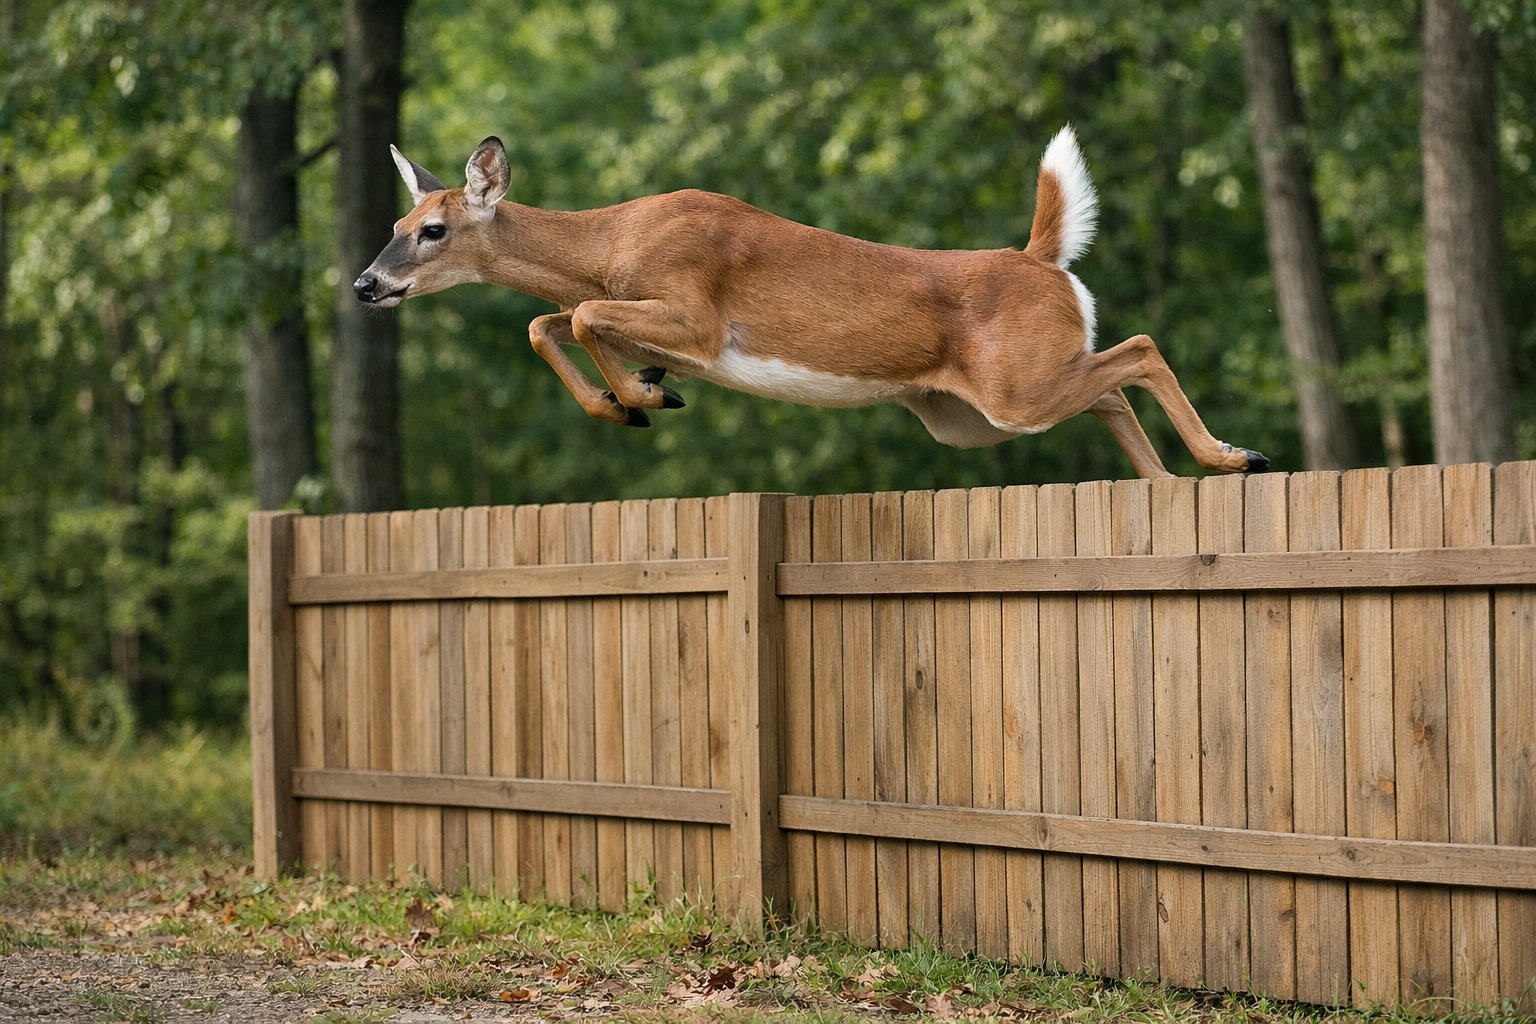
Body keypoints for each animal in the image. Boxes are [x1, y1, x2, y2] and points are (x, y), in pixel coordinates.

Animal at [354, 128, 1268, 480]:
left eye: (433, 229)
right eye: (393, 225)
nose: (366, 283)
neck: (612, 246)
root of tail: (1039, 259)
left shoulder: (696, 313)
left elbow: (569, 316)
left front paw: (640, 397)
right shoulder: (665, 327)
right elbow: (548, 320)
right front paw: (637, 396)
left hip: (1013, 390)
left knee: (1139, 348)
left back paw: (1234, 456)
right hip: (972, 413)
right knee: (1110, 384)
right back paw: (1171, 477)